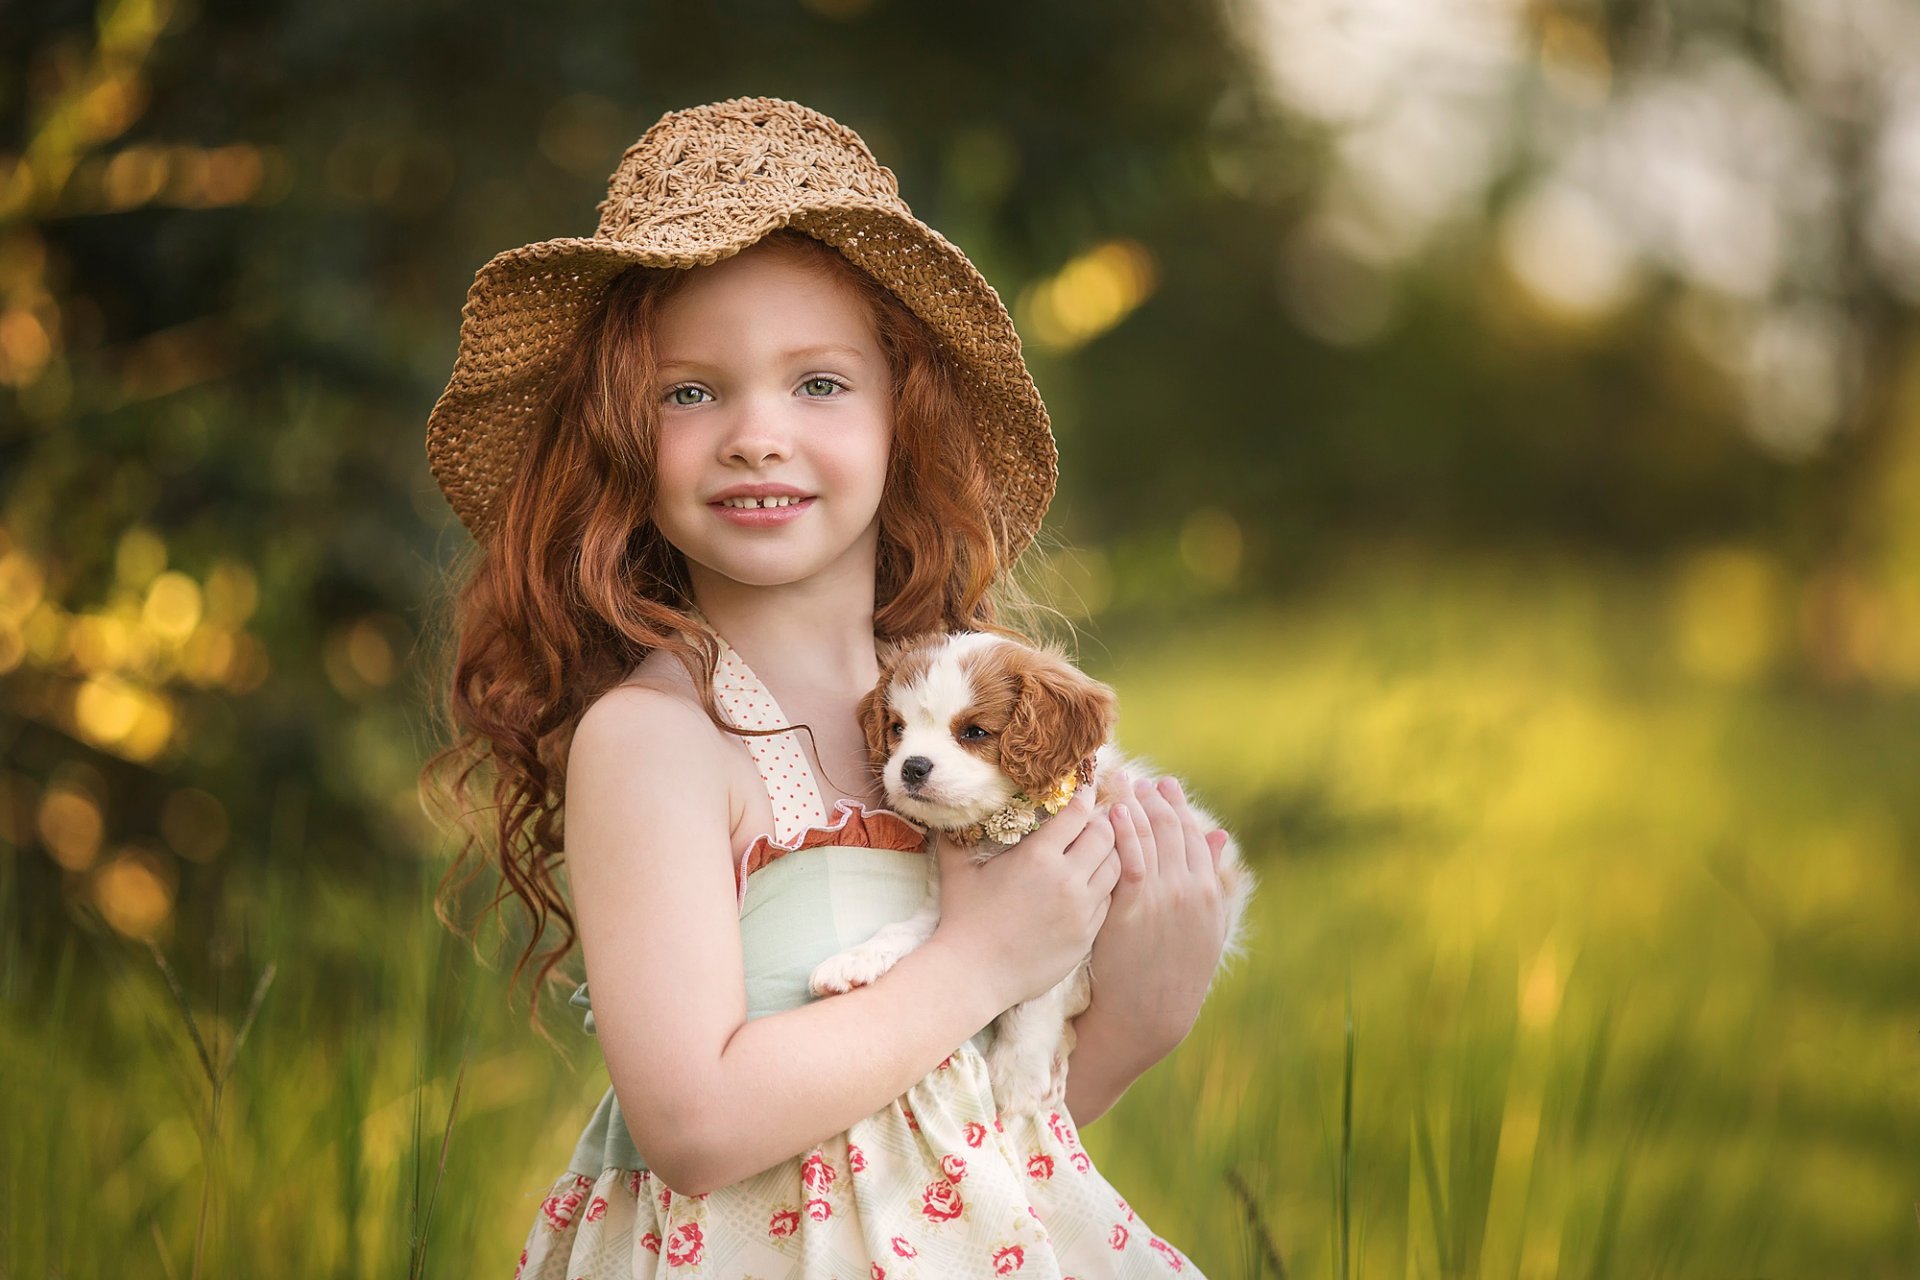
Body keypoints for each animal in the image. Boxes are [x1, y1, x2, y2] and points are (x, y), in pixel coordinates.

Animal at [810, 629, 1259, 1120]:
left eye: (974, 732)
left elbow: (1034, 1003)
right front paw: (854, 962)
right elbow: (899, 931)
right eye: (897, 729)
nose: (912, 766)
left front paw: (1014, 1075)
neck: (995, 830)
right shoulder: (945, 911)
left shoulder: (1082, 918)